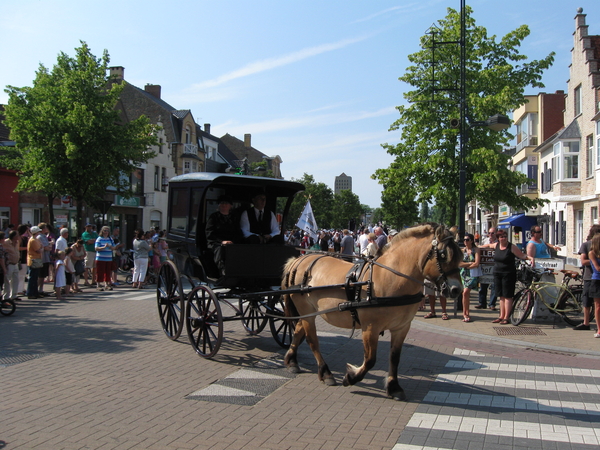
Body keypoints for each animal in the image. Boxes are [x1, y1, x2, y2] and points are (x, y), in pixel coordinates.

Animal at [282, 223, 464, 400]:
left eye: (461, 255)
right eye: (443, 255)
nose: (457, 290)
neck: (389, 277)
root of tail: (299, 260)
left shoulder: (401, 327)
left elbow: (395, 357)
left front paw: (394, 387)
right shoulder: (370, 328)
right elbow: (370, 360)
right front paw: (351, 377)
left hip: (309, 312)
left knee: (299, 331)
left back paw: (292, 361)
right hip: (307, 311)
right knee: (312, 339)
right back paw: (326, 373)